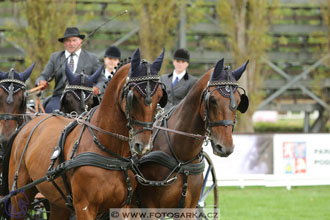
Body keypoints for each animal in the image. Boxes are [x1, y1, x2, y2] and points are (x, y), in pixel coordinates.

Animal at [2, 49, 168, 219]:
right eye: (132, 97)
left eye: (160, 97)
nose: (143, 145)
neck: (110, 153)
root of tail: (25, 127)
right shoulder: (84, 207)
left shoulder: (123, 207)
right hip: (19, 196)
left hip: (57, 202)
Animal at [134, 58, 250, 215]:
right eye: (213, 100)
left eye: (238, 102)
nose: (225, 147)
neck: (182, 159)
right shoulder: (151, 208)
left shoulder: (187, 209)